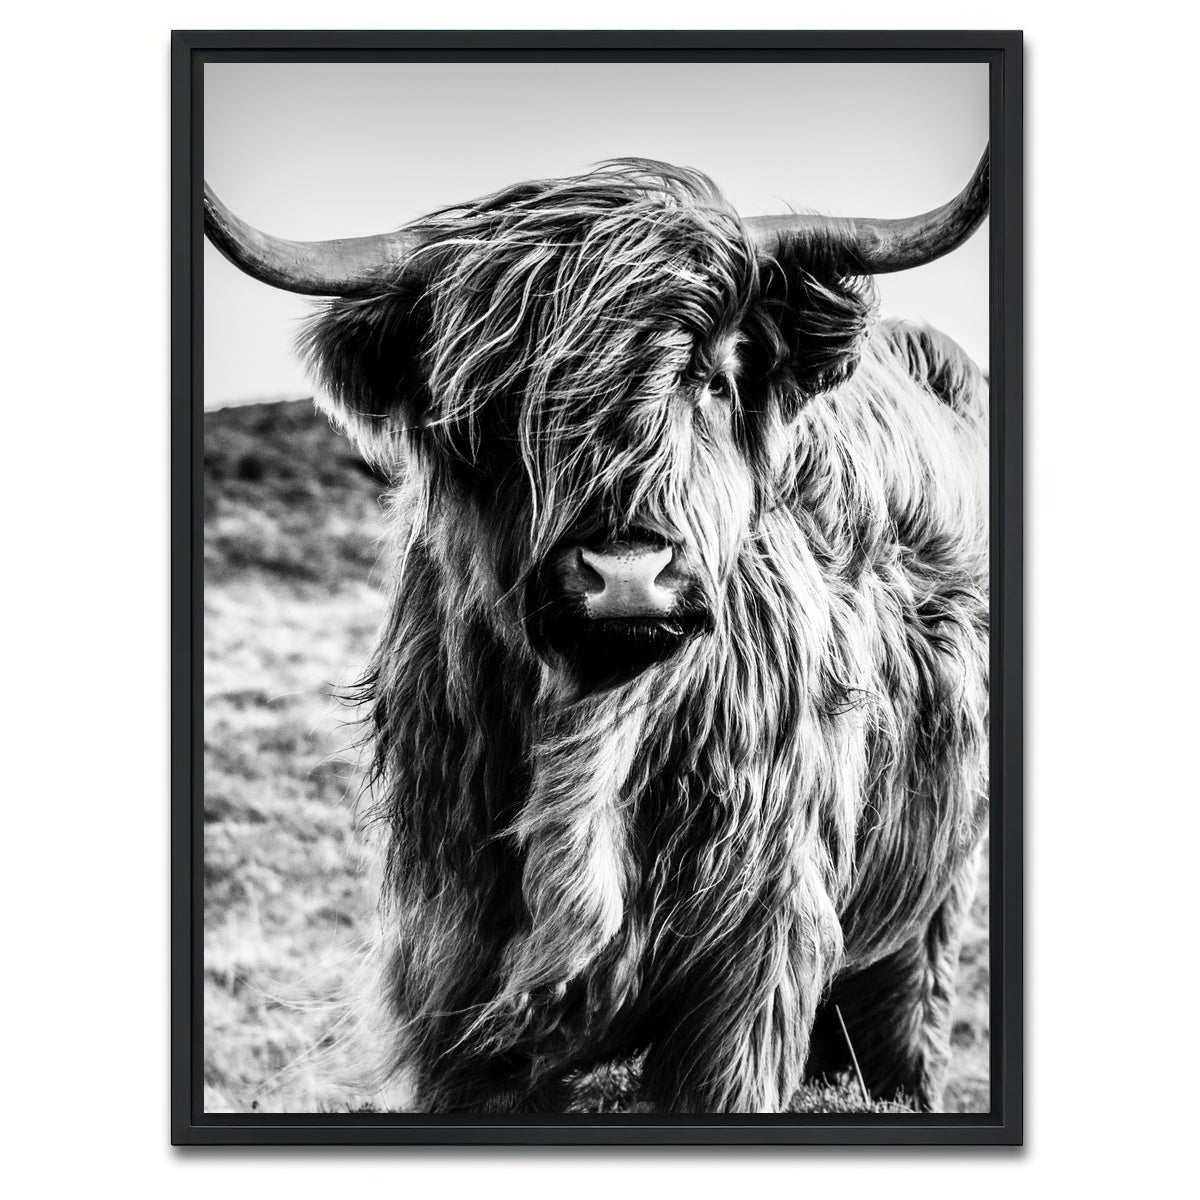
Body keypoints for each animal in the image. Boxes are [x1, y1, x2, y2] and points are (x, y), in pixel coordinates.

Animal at [204, 148, 991, 1113]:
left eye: (712, 378)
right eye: (498, 404)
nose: (625, 574)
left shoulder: (754, 960)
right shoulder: (452, 970)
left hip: (930, 911)